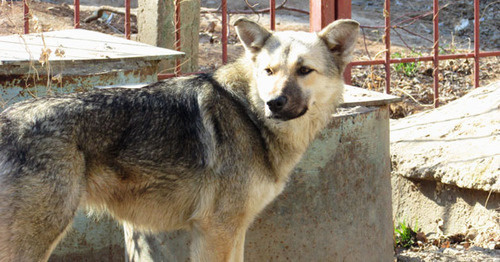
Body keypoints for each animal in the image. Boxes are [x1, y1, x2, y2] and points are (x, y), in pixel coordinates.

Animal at [0, 18, 360, 262]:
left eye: (304, 70)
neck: (246, 111)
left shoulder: (234, 230)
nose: (274, 103)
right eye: (269, 71)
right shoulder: (216, 231)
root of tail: (6, 119)